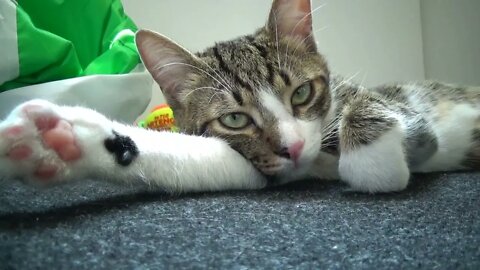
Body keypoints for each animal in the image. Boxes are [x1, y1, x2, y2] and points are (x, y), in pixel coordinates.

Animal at [0, 0, 478, 194]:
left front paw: (372, 164)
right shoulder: (262, 166)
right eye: (234, 120)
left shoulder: (402, 106)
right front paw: (59, 142)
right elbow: (205, 163)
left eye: (301, 92)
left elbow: (383, 109)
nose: (294, 147)